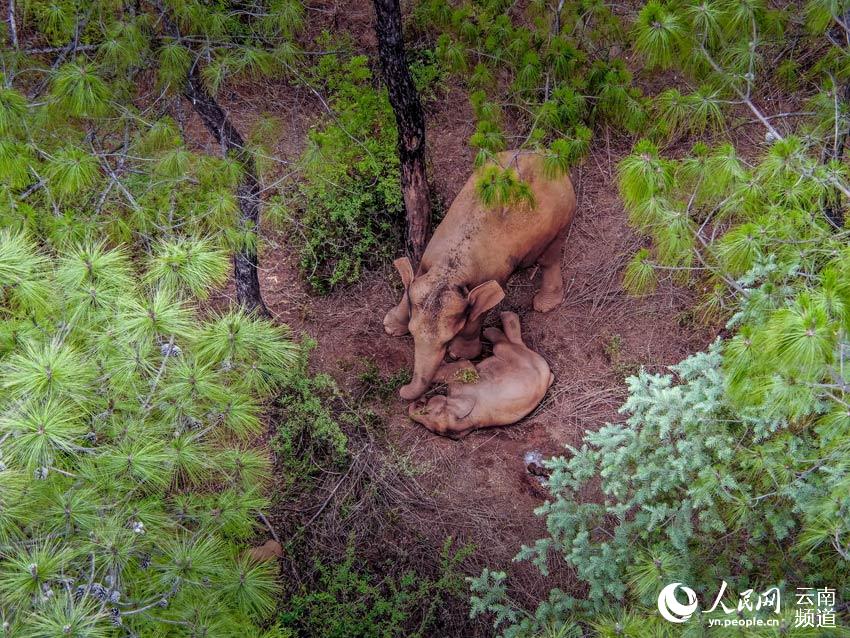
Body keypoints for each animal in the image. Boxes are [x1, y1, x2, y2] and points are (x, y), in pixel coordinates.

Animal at [408, 314, 552, 440]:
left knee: (503, 345)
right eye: (432, 430)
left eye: (426, 412)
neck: (467, 422)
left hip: (514, 355)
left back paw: (492, 327)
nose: (415, 405)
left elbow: (464, 364)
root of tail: (547, 372)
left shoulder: (467, 386)